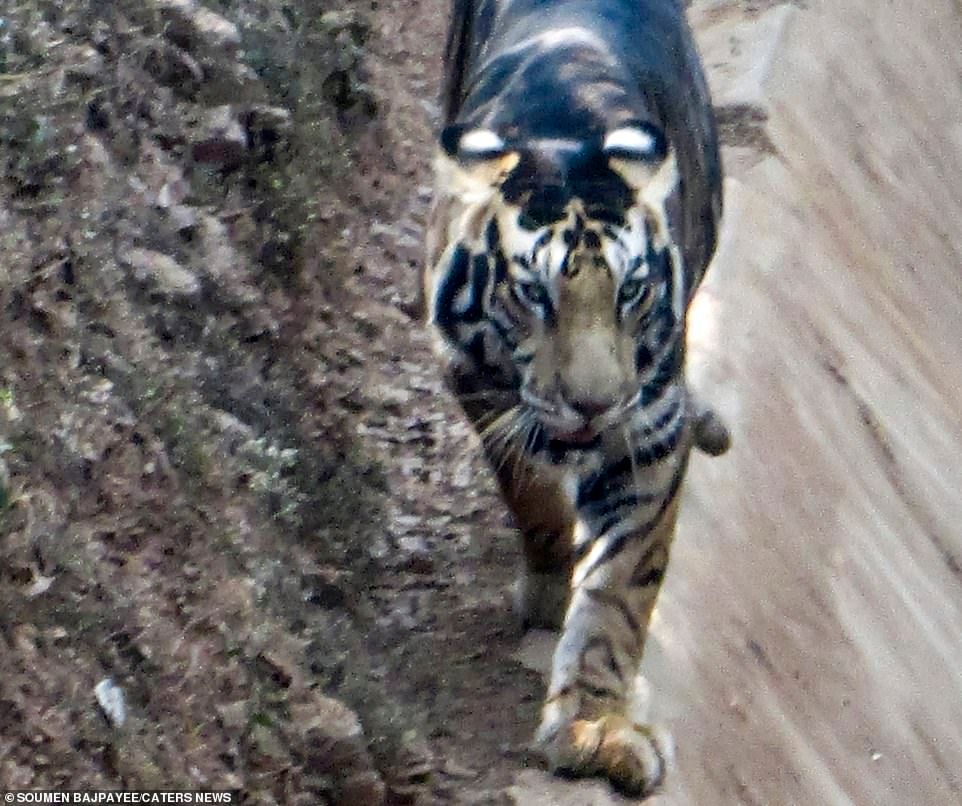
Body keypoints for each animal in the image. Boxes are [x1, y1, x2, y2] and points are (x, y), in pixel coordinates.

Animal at [422, 0, 728, 796]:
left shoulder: (648, 430)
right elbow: (528, 490)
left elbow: (620, 589)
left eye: (631, 291)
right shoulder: (474, 381)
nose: (594, 404)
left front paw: (596, 727)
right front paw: (549, 584)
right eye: (535, 294)